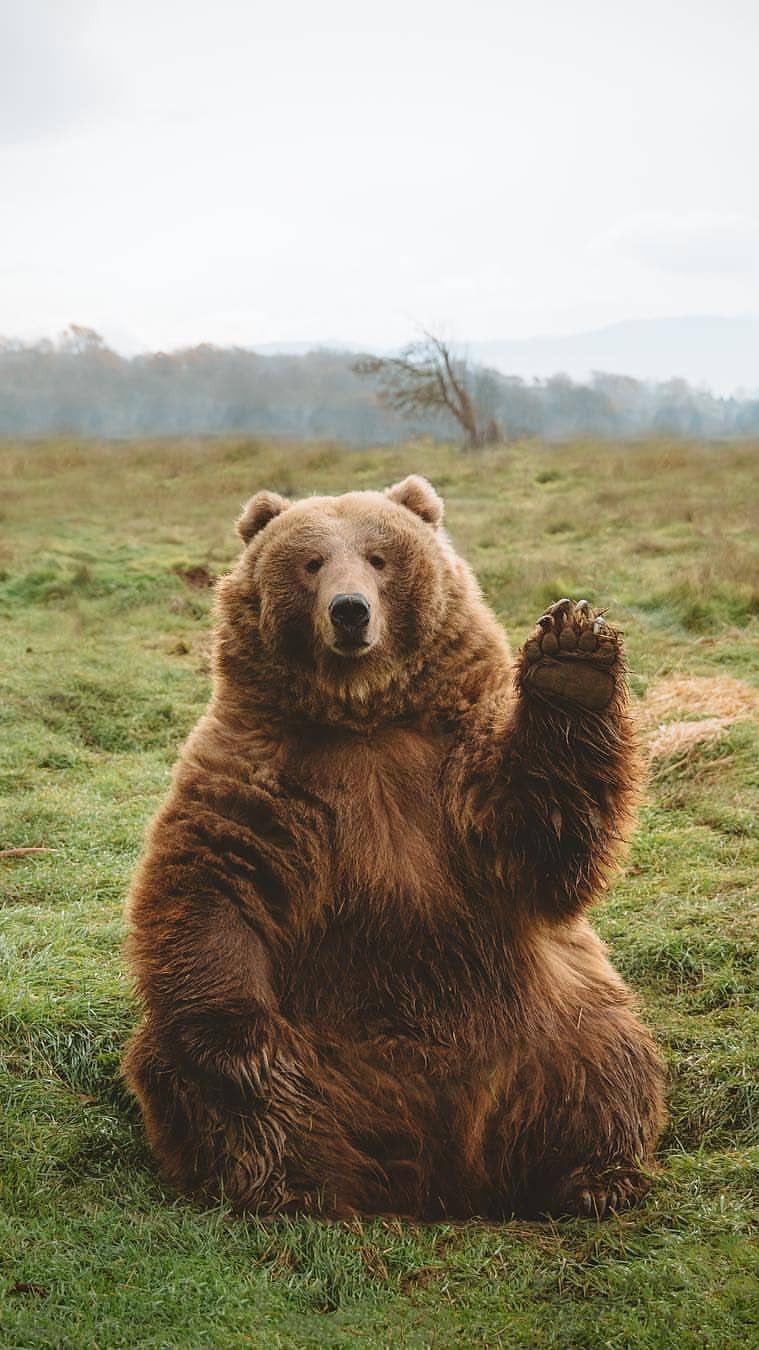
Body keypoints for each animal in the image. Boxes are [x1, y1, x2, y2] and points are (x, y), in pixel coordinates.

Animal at [123, 474, 664, 1221]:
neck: (364, 717)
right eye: (311, 561)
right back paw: (291, 1186)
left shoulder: (454, 768)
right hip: (325, 1051)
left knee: (603, 1060)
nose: (350, 612)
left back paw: (593, 1177)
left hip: (543, 1024)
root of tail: (437, 1171)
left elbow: (541, 834)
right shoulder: (258, 773)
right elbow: (210, 883)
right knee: (218, 1095)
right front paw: (241, 1046)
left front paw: (572, 656)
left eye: (379, 558)